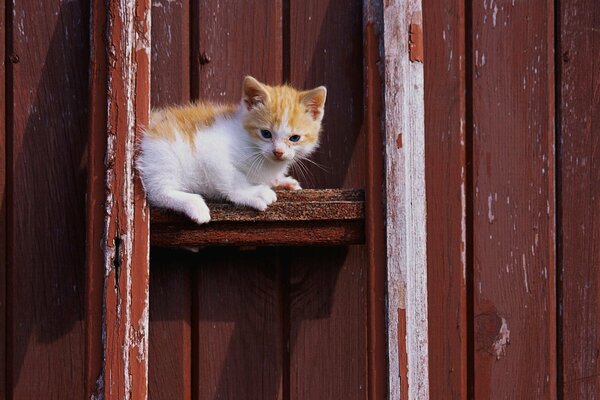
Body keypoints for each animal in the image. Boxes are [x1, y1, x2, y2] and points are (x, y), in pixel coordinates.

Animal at [137, 76, 328, 223]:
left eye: (294, 138)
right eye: (266, 134)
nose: (278, 152)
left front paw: (281, 181)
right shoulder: (211, 152)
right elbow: (232, 179)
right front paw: (253, 193)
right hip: (164, 154)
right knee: (158, 191)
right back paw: (195, 204)